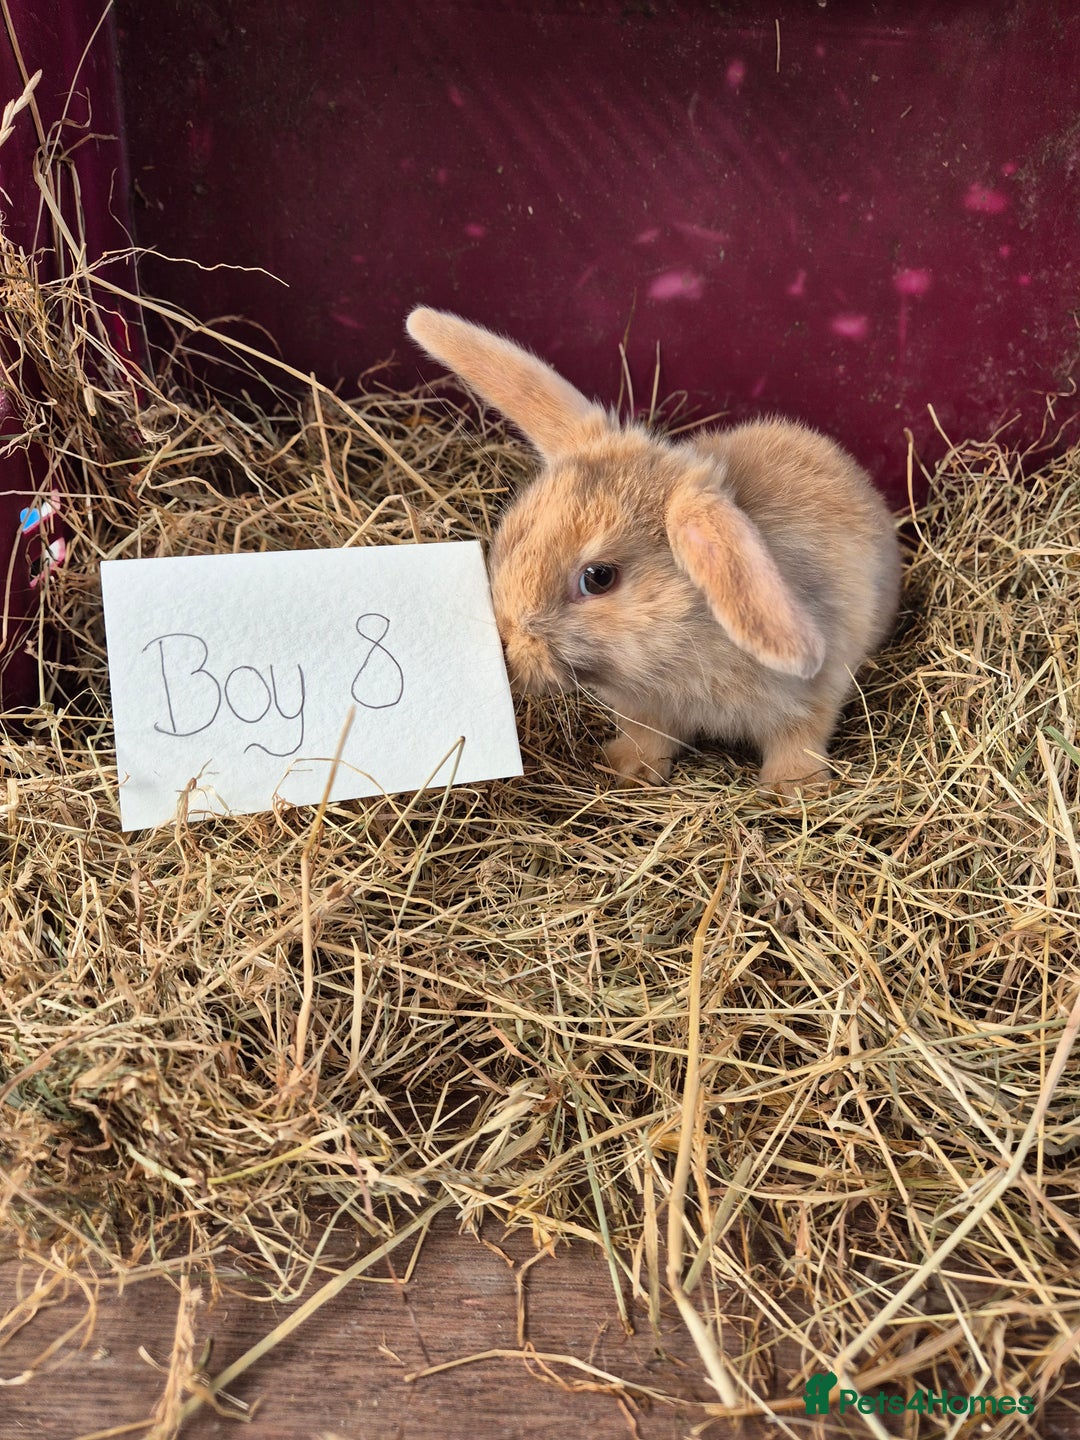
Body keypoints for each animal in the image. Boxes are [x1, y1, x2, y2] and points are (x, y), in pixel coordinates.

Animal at [406, 307, 902, 795]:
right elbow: (648, 736)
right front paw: (626, 768)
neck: (690, 636)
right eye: (512, 536)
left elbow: (799, 738)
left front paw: (793, 789)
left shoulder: (816, 694)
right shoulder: (648, 710)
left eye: (598, 578)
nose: (506, 643)